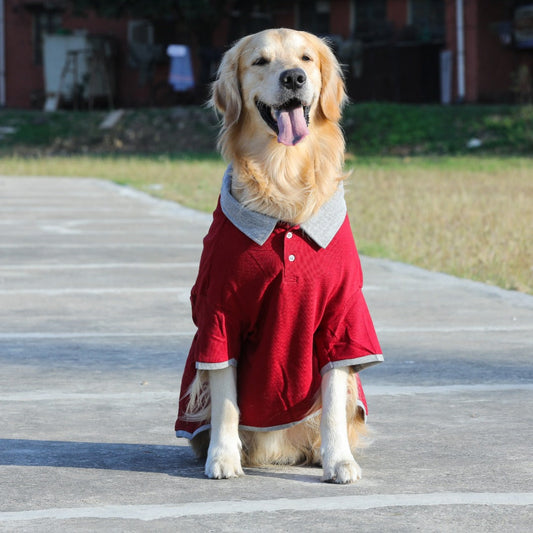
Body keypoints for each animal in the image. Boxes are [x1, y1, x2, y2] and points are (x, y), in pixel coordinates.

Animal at [176, 28, 382, 482]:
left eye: (305, 59)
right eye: (260, 61)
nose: (293, 78)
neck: (283, 172)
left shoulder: (341, 317)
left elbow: (333, 400)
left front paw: (339, 461)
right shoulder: (220, 314)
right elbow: (226, 398)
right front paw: (223, 457)